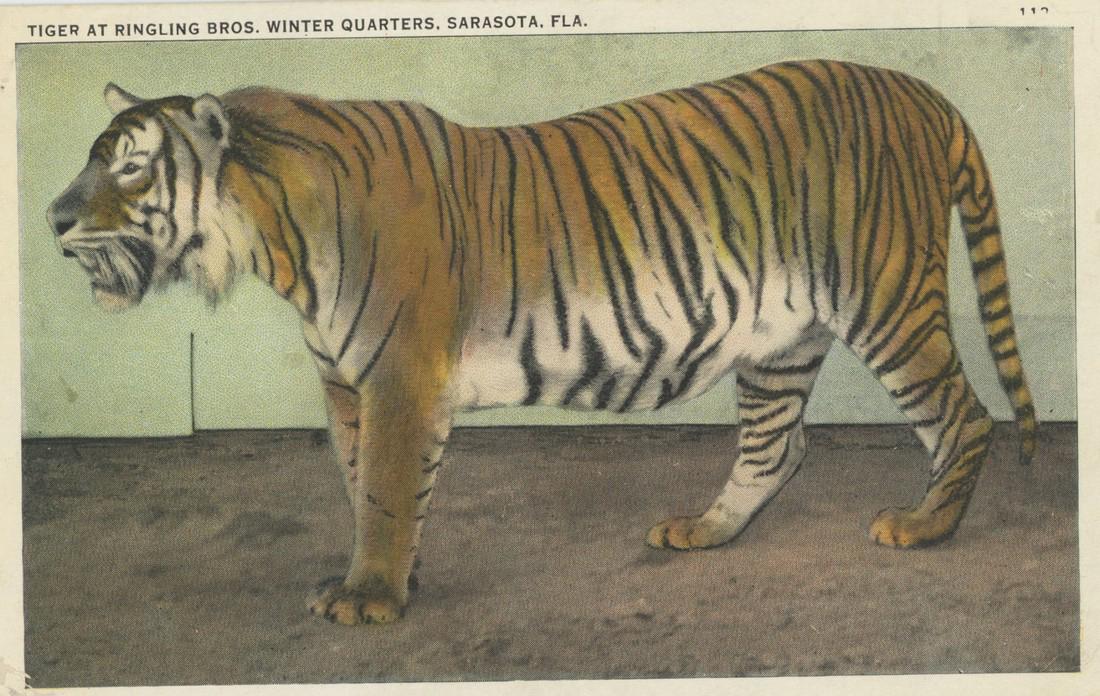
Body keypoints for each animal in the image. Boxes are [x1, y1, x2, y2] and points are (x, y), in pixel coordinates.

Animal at [47, 59, 1036, 625]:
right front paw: (391, 575)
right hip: (780, 335)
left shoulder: (398, 375)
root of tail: (923, 92)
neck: (272, 241)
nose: (53, 216)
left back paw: (923, 526)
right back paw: (705, 530)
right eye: (92, 157)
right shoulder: (346, 385)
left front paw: (369, 600)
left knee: (964, 415)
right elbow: (368, 485)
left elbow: (387, 489)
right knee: (777, 446)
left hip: (886, 296)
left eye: (131, 167)